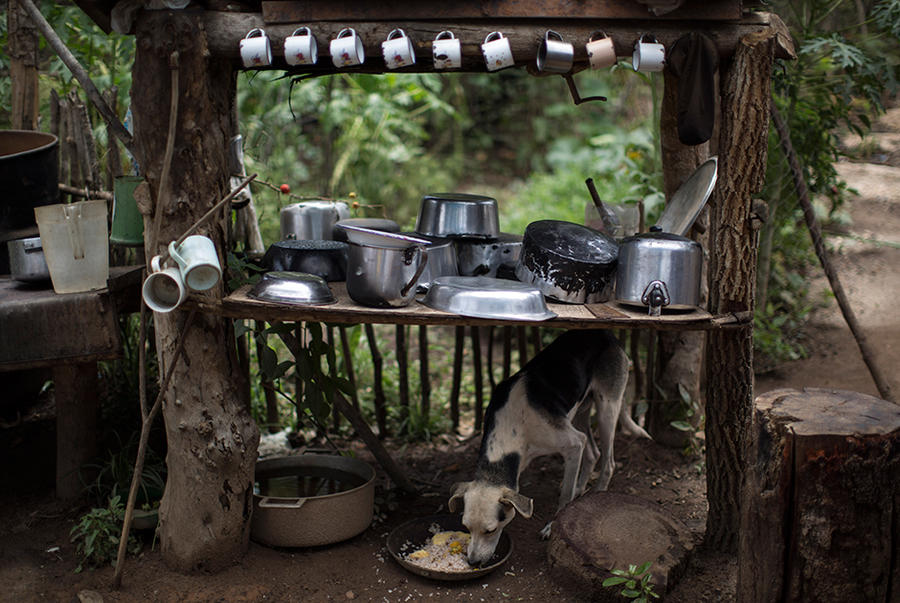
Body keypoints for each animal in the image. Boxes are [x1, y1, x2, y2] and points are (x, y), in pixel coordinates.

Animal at [448, 328, 648, 568]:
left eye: (491, 530)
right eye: (466, 527)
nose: (472, 562)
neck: (512, 426)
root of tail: (607, 334)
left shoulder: (573, 444)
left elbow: (564, 495)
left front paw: (553, 526)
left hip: (606, 408)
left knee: (608, 461)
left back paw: (597, 494)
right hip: (579, 410)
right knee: (593, 453)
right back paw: (581, 489)